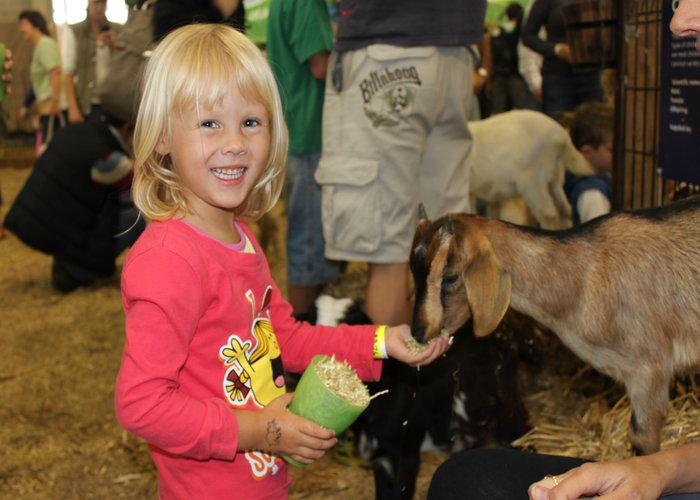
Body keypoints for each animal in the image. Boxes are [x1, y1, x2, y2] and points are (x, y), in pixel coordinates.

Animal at [408, 200, 700, 458]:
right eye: (414, 273)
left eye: (451, 277)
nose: (418, 332)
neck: (583, 278)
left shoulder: (649, 368)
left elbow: (642, 439)